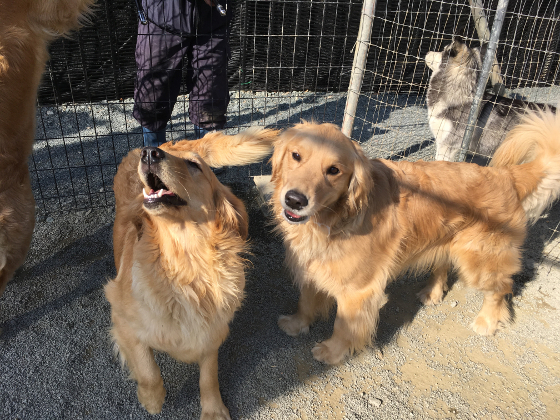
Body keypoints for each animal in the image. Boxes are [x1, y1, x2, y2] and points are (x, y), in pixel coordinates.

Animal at [105, 129, 278, 420]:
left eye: (194, 165)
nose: (150, 154)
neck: (185, 264)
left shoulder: (212, 329)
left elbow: (209, 375)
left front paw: (213, 409)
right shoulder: (122, 320)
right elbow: (148, 370)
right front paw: (152, 399)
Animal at [272, 110, 560, 364]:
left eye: (334, 170)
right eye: (296, 156)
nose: (295, 200)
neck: (335, 217)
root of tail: (505, 175)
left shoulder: (358, 289)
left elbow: (344, 326)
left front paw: (332, 352)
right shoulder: (312, 264)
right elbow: (306, 300)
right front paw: (297, 323)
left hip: (480, 262)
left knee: (502, 287)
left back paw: (487, 322)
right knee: (443, 265)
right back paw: (433, 293)